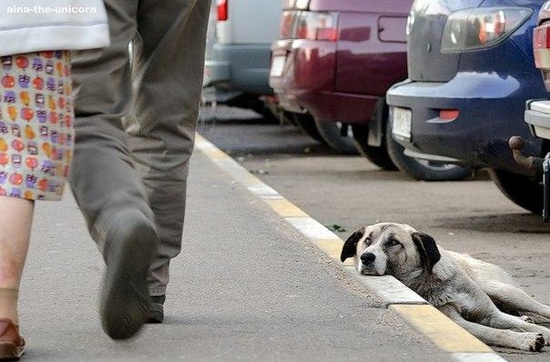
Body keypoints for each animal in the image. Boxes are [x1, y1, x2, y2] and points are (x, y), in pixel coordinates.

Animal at [340, 222, 550, 352]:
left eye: (393, 242)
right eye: (367, 241)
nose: (366, 257)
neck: (432, 280)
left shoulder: (490, 315)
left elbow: (517, 324)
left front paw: (538, 332)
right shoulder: (460, 323)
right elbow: (496, 332)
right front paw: (526, 339)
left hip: (503, 291)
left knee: (540, 308)